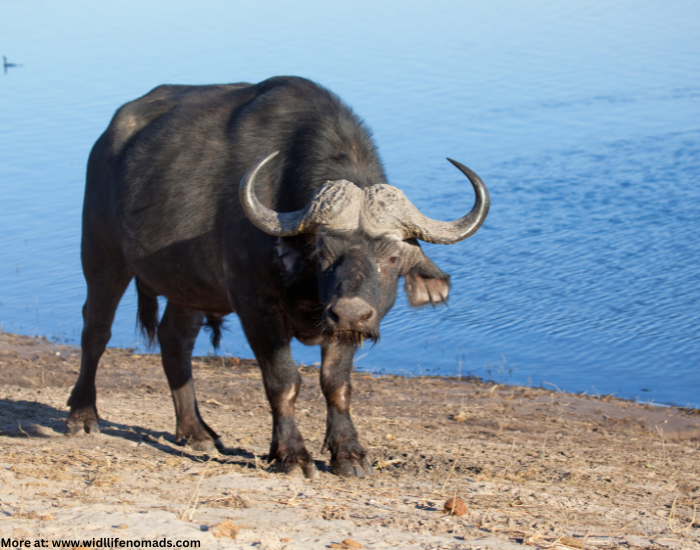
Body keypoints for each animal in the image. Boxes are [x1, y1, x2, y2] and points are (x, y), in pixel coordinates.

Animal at [67, 76, 490, 478]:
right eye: (321, 251)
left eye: (392, 255)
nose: (351, 313)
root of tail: (109, 139)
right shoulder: (256, 308)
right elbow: (284, 383)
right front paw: (291, 455)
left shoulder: (341, 328)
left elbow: (336, 384)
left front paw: (349, 455)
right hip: (102, 254)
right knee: (96, 330)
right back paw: (83, 416)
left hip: (188, 287)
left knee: (175, 342)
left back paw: (196, 431)